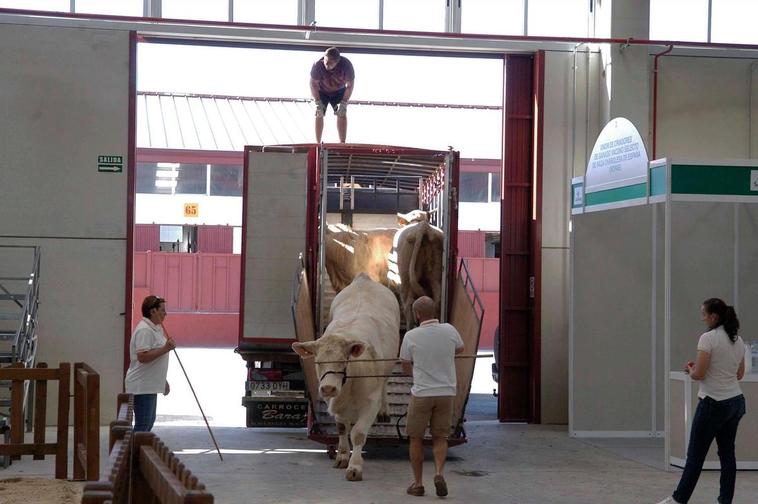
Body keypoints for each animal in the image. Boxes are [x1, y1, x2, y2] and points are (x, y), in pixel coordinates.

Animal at [292, 274, 400, 482]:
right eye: (317, 361)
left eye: (344, 360)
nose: (328, 388)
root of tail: (363, 279)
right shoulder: (335, 405)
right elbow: (342, 428)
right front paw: (342, 457)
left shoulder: (369, 403)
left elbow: (358, 434)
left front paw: (355, 467)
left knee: (384, 384)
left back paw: (385, 409)